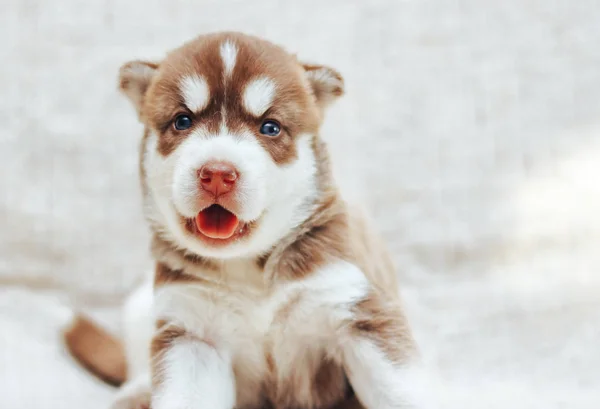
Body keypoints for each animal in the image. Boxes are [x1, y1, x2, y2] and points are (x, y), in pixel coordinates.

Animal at [64, 31, 422, 408]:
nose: (217, 174)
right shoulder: (193, 335)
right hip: (139, 307)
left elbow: (402, 391)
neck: (250, 269)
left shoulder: (355, 309)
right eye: (182, 121)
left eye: (270, 127)